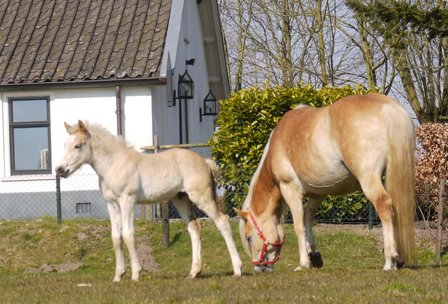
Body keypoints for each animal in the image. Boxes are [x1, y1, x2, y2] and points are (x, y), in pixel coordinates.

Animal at [57, 120, 245, 282]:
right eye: (64, 145)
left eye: (77, 146)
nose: (59, 169)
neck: (114, 164)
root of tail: (204, 162)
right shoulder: (112, 204)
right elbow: (116, 237)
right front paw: (118, 276)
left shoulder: (127, 200)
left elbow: (128, 234)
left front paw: (135, 274)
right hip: (181, 199)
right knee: (194, 227)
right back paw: (194, 272)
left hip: (202, 197)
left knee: (222, 222)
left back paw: (237, 269)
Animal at [236, 93, 414, 274]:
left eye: (248, 237)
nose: (259, 268)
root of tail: (388, 106)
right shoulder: (318, 194)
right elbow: (308, 218)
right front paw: (314, 255)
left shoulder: (290, 190)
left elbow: (298, 226)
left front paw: (303, 263)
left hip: (369, 179)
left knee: (384, 207)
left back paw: (390, 261)